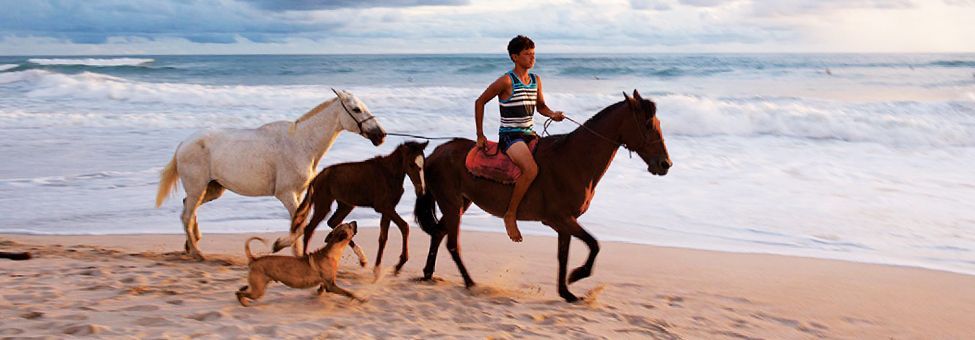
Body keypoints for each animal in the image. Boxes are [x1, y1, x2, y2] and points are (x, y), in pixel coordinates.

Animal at [155, 89, 386, 258]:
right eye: (356, 109)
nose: (381, 134)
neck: (301, 144)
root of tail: (183, 144)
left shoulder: (300, 194)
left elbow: (298, 225)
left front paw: (295, 253)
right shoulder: (286, 194)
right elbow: (299, 227)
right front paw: (279, 246)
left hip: (212, 189)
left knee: (188, 207)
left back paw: (191, 243)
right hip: (198, 188)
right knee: (186, 214)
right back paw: (196, 252)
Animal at [412, 90, 672, 302]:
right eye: (648, 124)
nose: (665, 164)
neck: (574, 160)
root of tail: (436, 153)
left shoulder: (564, 224)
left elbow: (564, 256)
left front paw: (566, 292)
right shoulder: (561, 219)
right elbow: (594, 244)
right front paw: (577, 275)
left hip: (459, 204)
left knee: (438, 234)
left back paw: (428, 274)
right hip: (452, 204)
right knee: (452, 244)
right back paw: (469, 282)